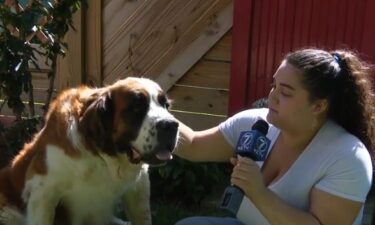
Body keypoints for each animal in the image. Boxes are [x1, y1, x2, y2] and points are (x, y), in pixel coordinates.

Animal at [0, 77, 181, 225]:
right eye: (137, 108)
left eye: (166, 106)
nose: (172, 125)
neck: (100, 156)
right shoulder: (43, 192)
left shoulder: (139, 187)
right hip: (8, 212)